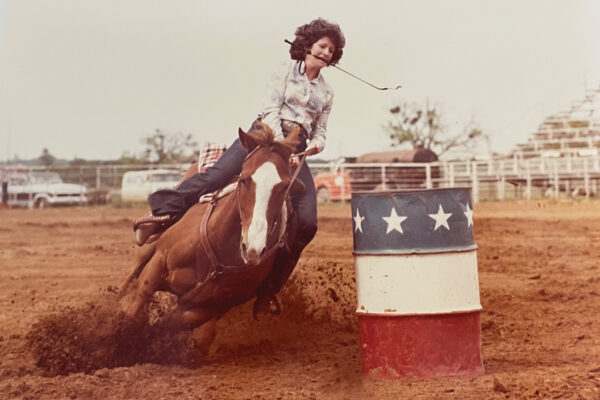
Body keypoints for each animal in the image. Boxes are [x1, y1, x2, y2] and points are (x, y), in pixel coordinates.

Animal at [117, 122, 304, 354]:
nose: (253, 248)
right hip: (150, 246)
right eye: (244, 179)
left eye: (285, 186)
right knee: (132, 272)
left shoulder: (209, 308)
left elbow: (171, 325)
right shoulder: (158, 263)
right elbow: (137, 302)